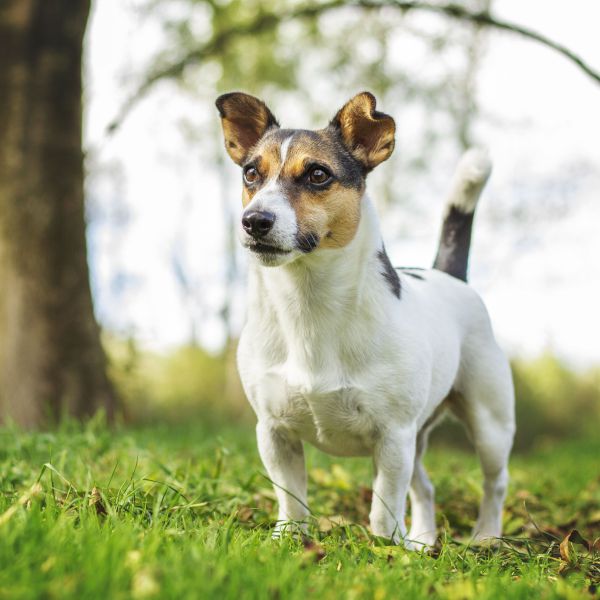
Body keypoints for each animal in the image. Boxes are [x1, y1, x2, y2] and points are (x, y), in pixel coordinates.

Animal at [216, 90, 516, 548]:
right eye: (251, 173)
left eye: (317, 175)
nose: (254, 221)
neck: (308, 302)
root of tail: (449, 275)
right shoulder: (274, 432)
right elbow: (291, 498)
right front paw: (288, 540)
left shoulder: (392, 436)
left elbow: (383, 506)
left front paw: (385, 548)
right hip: (418, 437)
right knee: (425, 487)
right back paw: (422, 542)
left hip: (488, 425)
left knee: (494, 483)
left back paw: (485, 536)